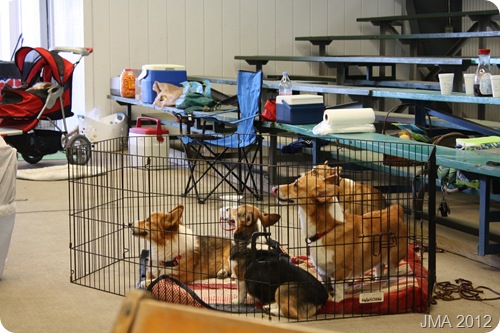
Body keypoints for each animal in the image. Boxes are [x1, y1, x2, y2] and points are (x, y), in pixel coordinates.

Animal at [272, 174, 408, 298]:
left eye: (295, 185)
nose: (273, 188)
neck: (328, 229)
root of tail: (394, 211)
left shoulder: (341, 271)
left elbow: (337, 293)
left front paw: (338, 301)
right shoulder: (322, 271)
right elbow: (327, 287)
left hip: (393, 259)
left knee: (391, 273)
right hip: (377, 259)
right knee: (379, 270)